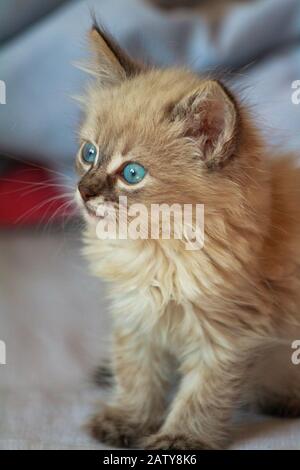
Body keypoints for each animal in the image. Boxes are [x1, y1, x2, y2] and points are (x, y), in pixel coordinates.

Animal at [75, 24, 300, 448]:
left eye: (132, 174)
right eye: (89, 153)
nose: (83, 190)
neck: (158, 250)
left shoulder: (227, 336)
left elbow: (200, 396)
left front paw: (179, 437)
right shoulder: (136, 318)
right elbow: (136, 375)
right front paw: (128, 420)